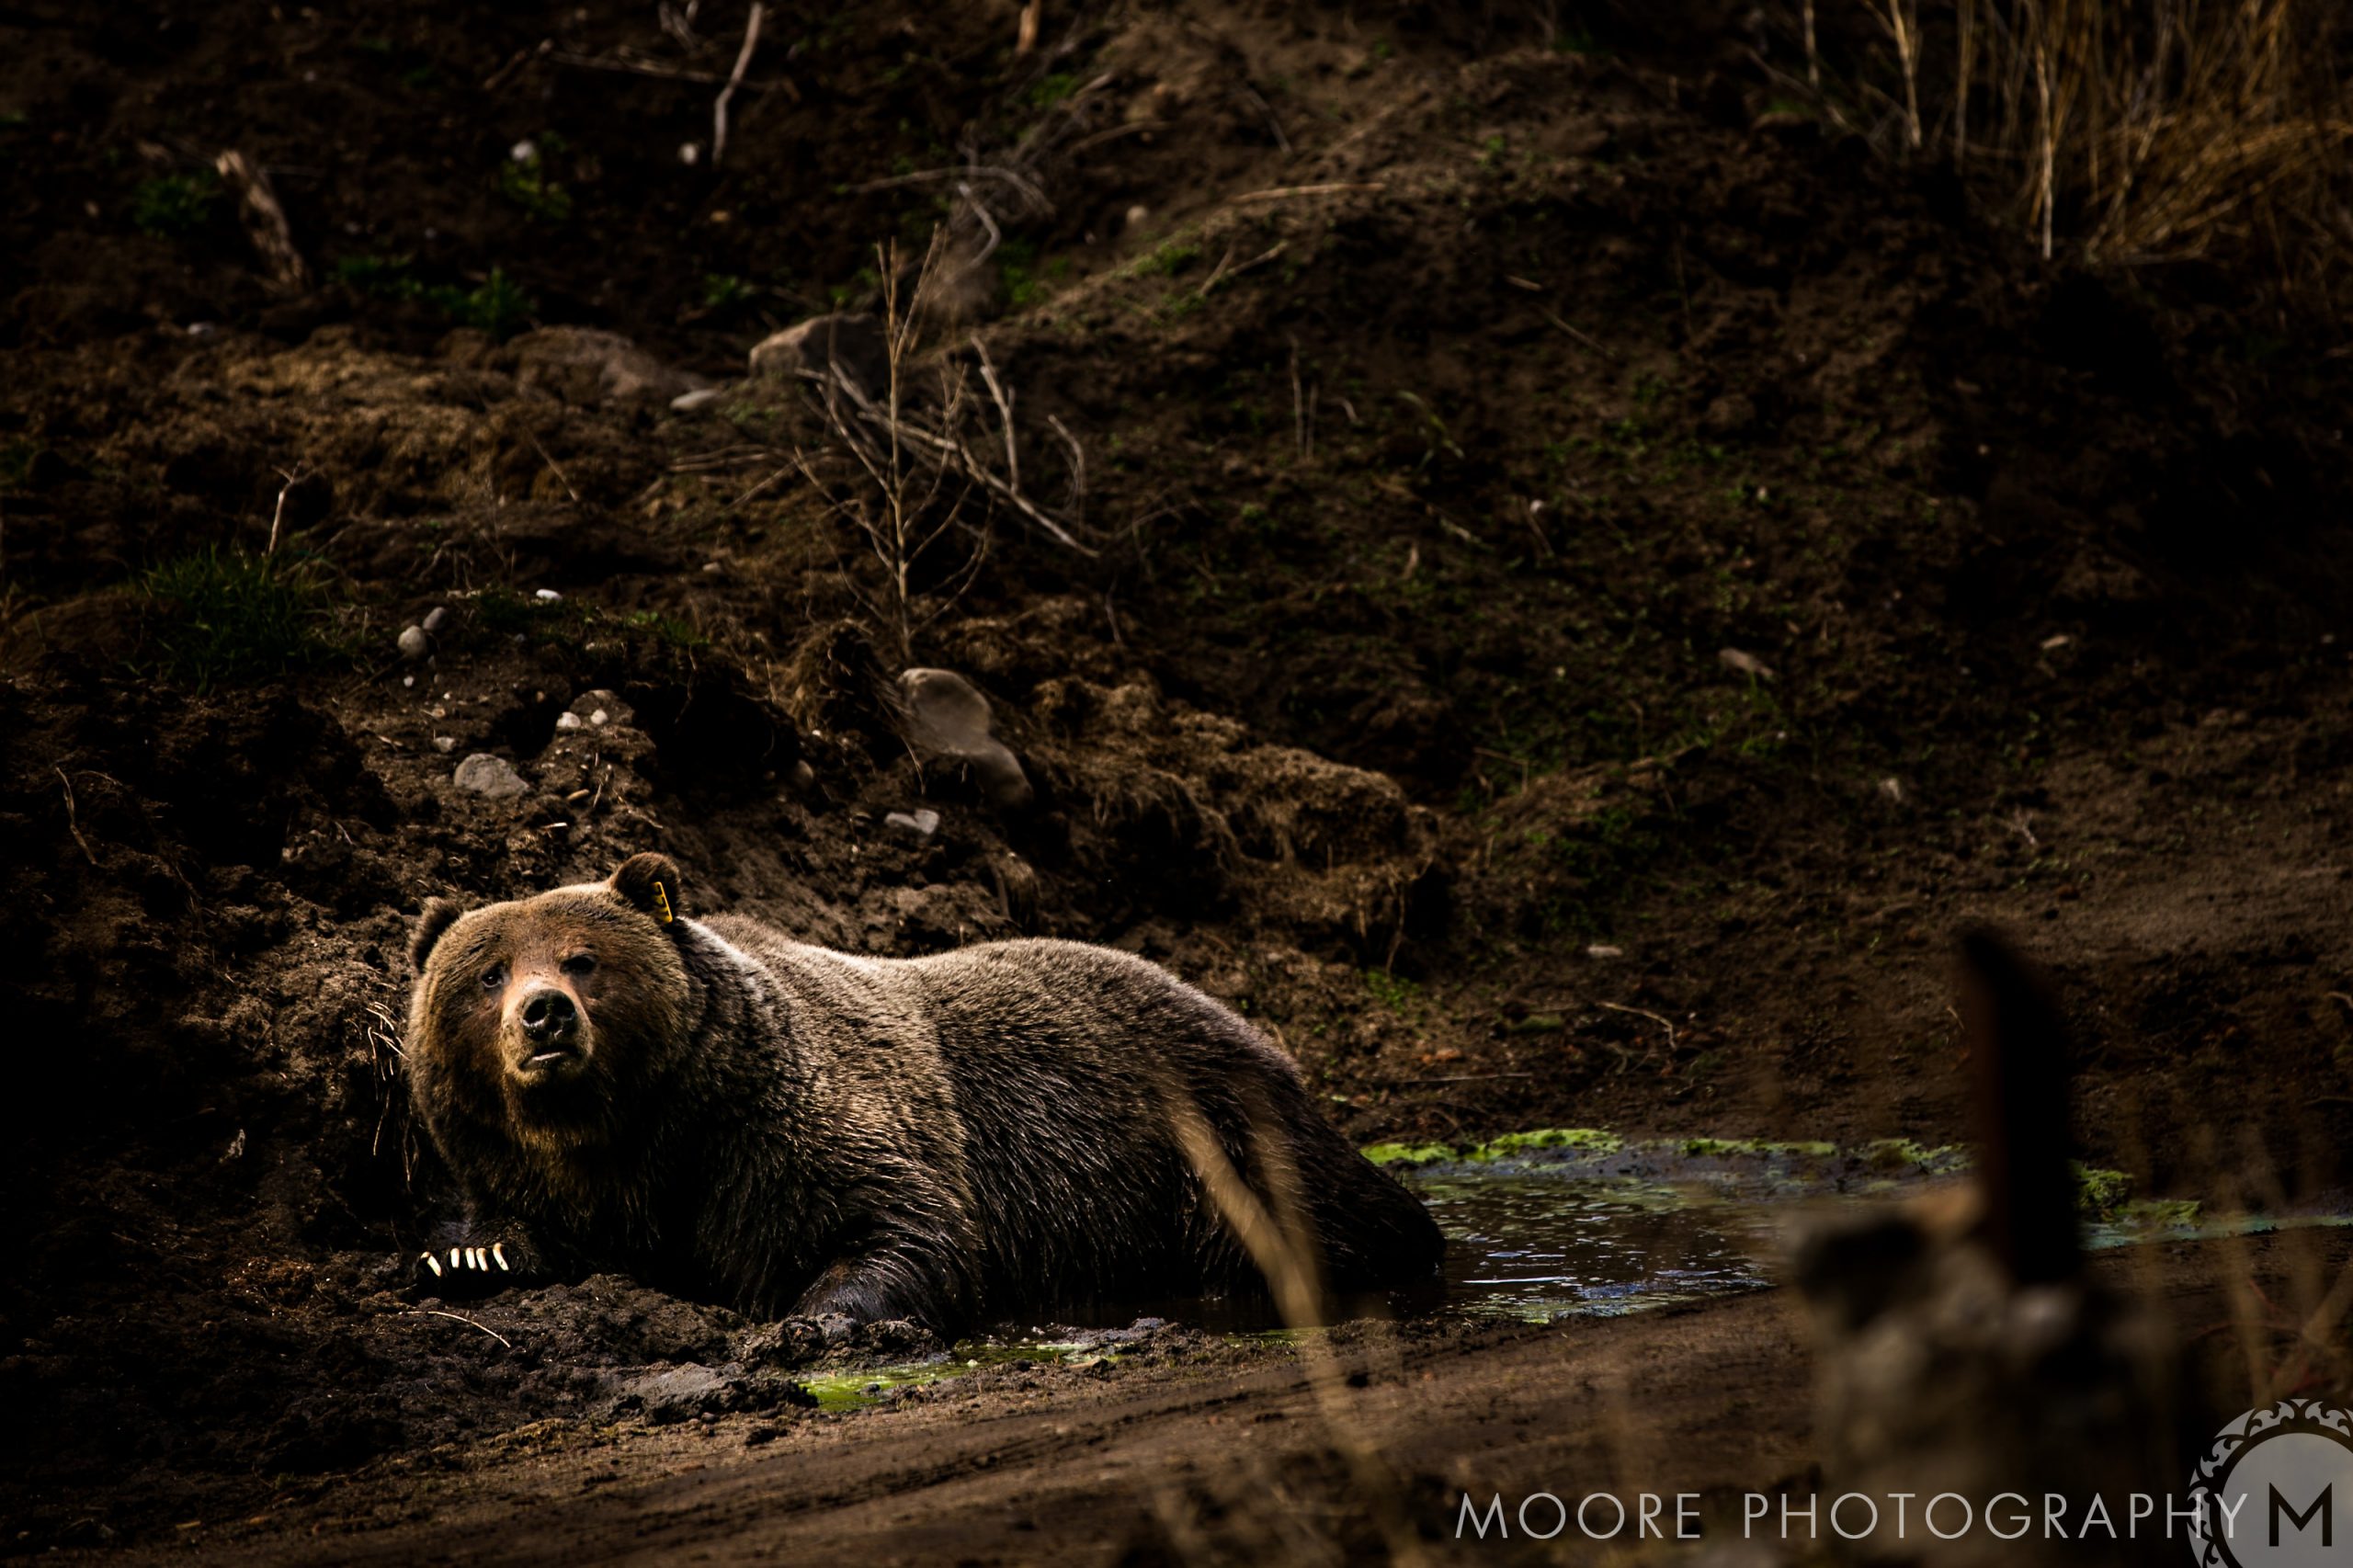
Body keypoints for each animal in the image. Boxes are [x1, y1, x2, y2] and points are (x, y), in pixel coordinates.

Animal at [403, 853, 1446, 1332]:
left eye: (584, 956)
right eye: (488, 972)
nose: (545, 1015)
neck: (638, 1134)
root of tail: (1251, 1023)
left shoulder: (784, 1133)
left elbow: (905, 1221)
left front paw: (818, 1313)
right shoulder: (552, 1171)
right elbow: (511, 1226)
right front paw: (471, 1255)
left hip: (1211, 1137)